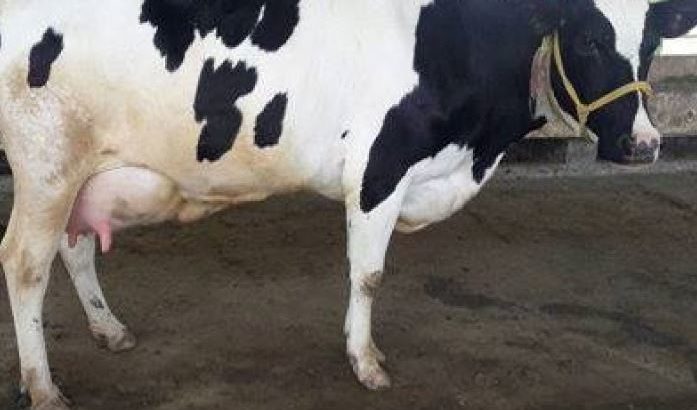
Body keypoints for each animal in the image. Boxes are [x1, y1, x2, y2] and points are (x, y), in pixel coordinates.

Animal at [0, 0, 695, 408]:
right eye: (589, 41)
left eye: (652, 45)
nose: (643, 145)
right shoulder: (378, 170)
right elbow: (368, 275)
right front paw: (366, 362)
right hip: (46, 168)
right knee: (25, 265)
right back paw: (43, 386)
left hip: (84, 174)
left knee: (75, 247)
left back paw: (109, 329)